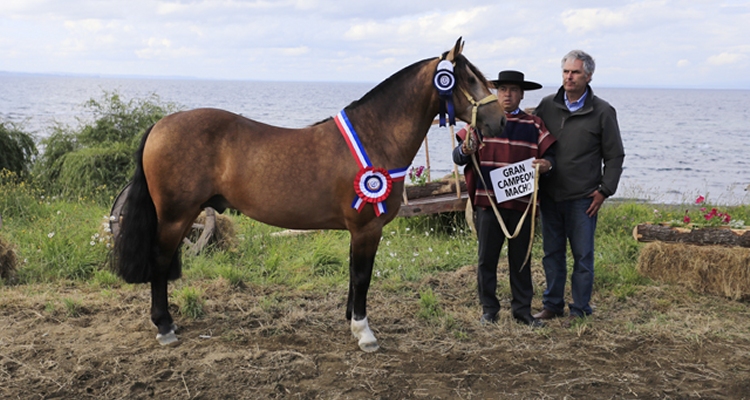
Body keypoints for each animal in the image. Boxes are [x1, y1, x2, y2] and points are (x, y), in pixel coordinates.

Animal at [111, 36, 508, 350]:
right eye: (468, 79)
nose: (500, 120)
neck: (375, 135)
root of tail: (160, 124)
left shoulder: (357, 230)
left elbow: (353, 274)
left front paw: (351, 320)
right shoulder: (367, 228)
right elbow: (362, 276)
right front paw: (364, 332)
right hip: (176, 216)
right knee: (160, 262)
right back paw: (165, 326)